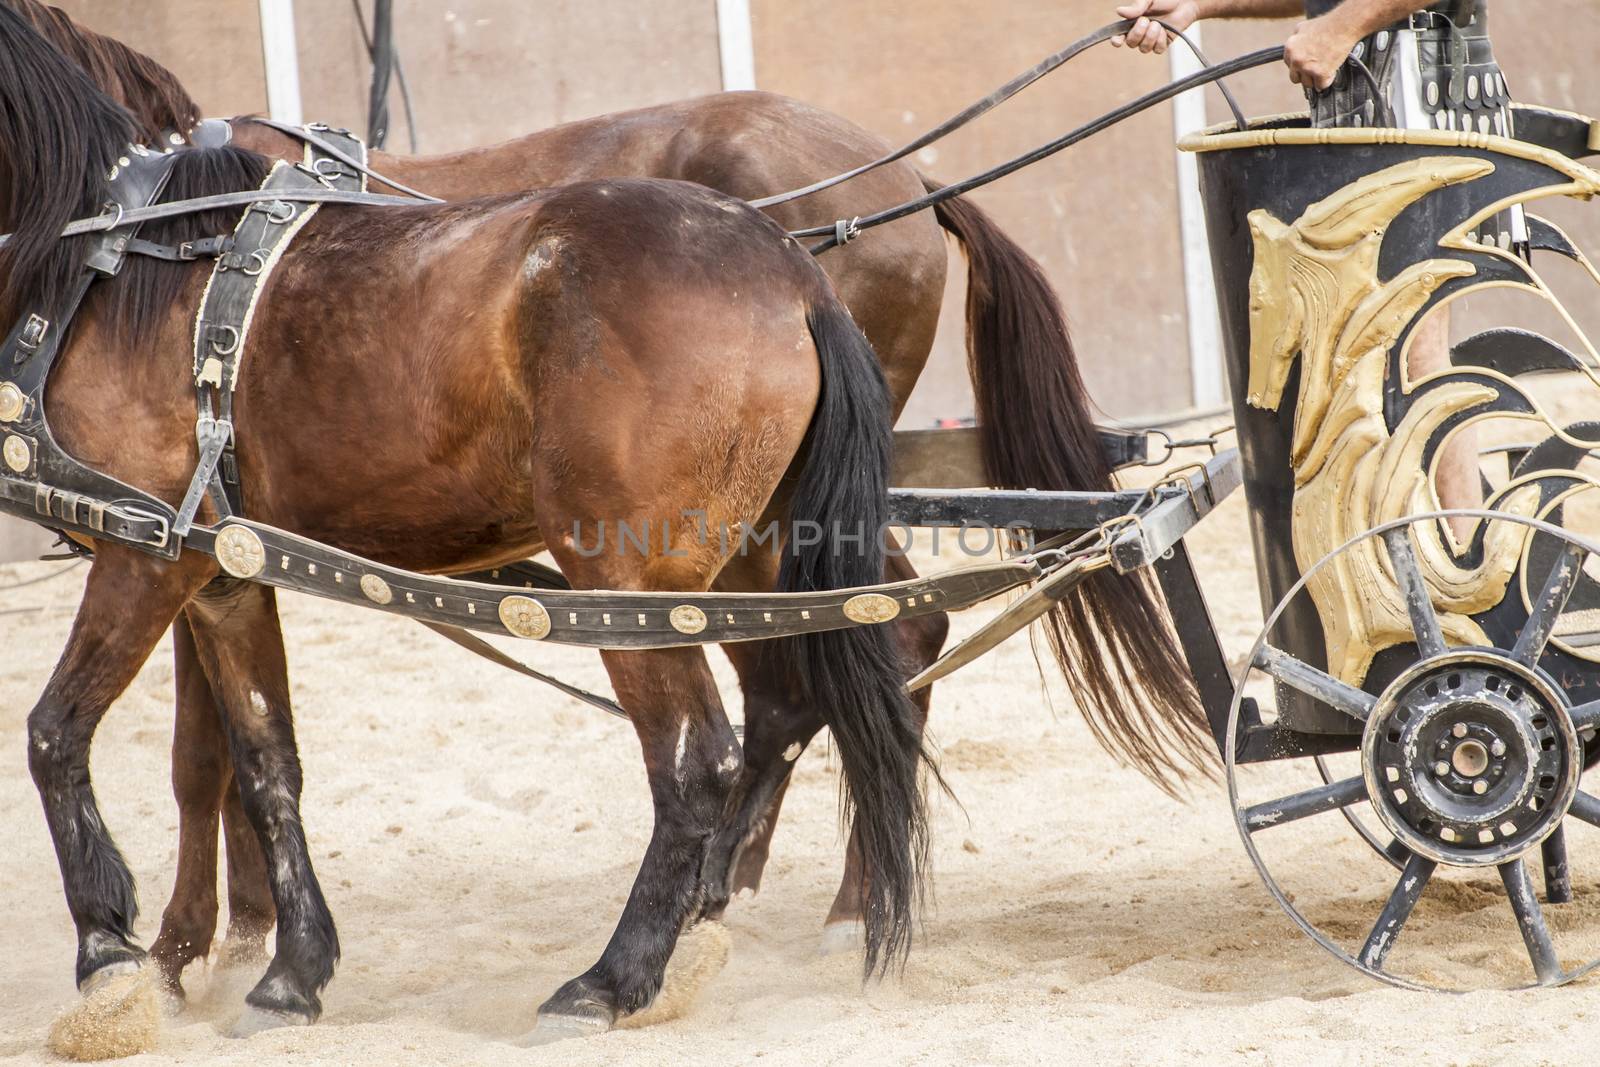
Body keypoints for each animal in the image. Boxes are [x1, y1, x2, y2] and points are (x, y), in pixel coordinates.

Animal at [12, 0, 1203, 1004]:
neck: (135, 253)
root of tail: (794, 262)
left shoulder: (150, 549)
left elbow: (89, 738)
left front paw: (132, 950)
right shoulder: (219, 565)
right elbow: (252, 757)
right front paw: (263, 954)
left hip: (636, 567)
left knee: (714, 737)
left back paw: (631, 964)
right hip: (769, 537)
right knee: (850, 661)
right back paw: (765, 899)